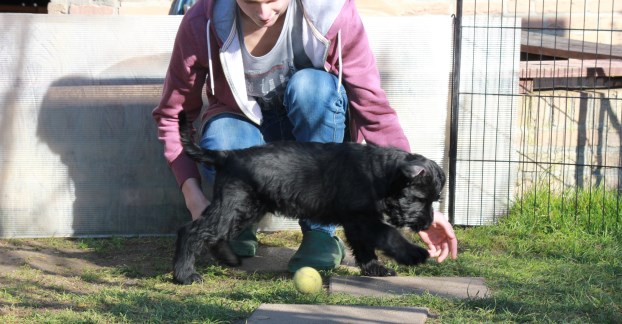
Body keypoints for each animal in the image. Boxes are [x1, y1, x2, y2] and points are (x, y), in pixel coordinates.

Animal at [173, 111, 446, 284]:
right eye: (421, 199)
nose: (427, 224)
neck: (380, 174)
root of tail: (226, 156)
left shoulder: (357, 222)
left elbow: (364, 246)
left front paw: (374, 268)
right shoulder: (362, 218)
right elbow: (388, 233)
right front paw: (413, 253)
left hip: (244, 208)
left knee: (214, 233)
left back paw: (227, 257)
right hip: (235, 205)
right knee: (191, 230)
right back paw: (184, 275)